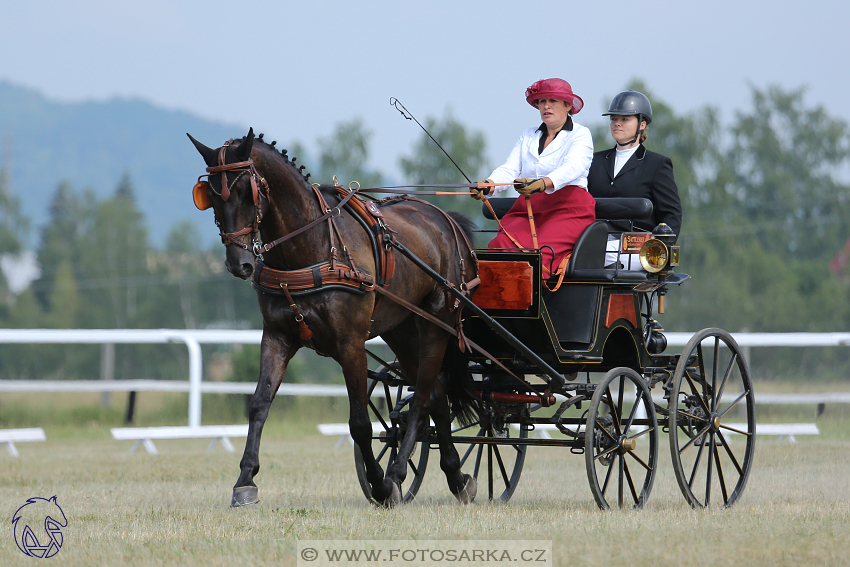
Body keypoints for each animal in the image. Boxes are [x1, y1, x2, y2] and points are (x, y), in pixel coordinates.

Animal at [189, 127, 480, 506]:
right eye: (210, 194)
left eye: (244, 191)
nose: (239, 264)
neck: (309, 247)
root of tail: (445, 220)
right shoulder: (277, 337)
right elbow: (259, 404)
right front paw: (245, 481)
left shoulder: (350, 343)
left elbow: (360, 423)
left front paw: (379, 485)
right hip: (401, 329)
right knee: (436, 396)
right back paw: (456, 477)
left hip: (437, 323)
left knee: (421, 399)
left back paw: (398, 474)